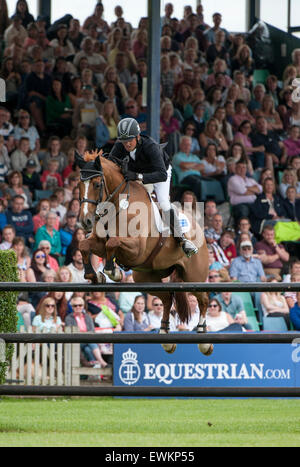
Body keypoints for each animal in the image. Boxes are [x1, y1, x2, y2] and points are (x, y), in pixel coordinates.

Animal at [75, 152, 213, 356]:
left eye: (97, 184)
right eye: (79, 185)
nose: (86, 221)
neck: (118, 206)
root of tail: (201, 232)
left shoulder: (137, 249)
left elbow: (112, 242)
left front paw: (112, 272)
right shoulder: (98, 242)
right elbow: (85, 244)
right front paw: (94, 275)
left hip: (193, 277)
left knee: (203, 299)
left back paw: (204, 340)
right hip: (146, 277)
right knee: (167, 298)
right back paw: (165, 334)